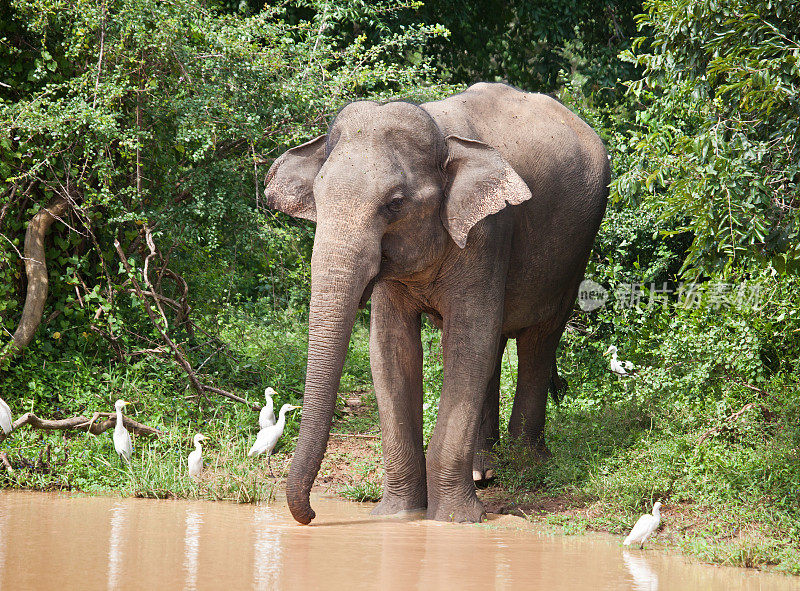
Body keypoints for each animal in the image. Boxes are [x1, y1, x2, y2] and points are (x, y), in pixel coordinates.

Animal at [262, 81, 608, 524]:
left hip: (575, 252)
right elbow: (391, 350)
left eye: (394, 203)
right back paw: (484, 468)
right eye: (317, 199)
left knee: (539, 338)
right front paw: (397, 516)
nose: (310, 515)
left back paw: (526, 460)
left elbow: (466, 342)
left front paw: (455, 521)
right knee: (496, 344)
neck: (441, 133)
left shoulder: (487, 232)